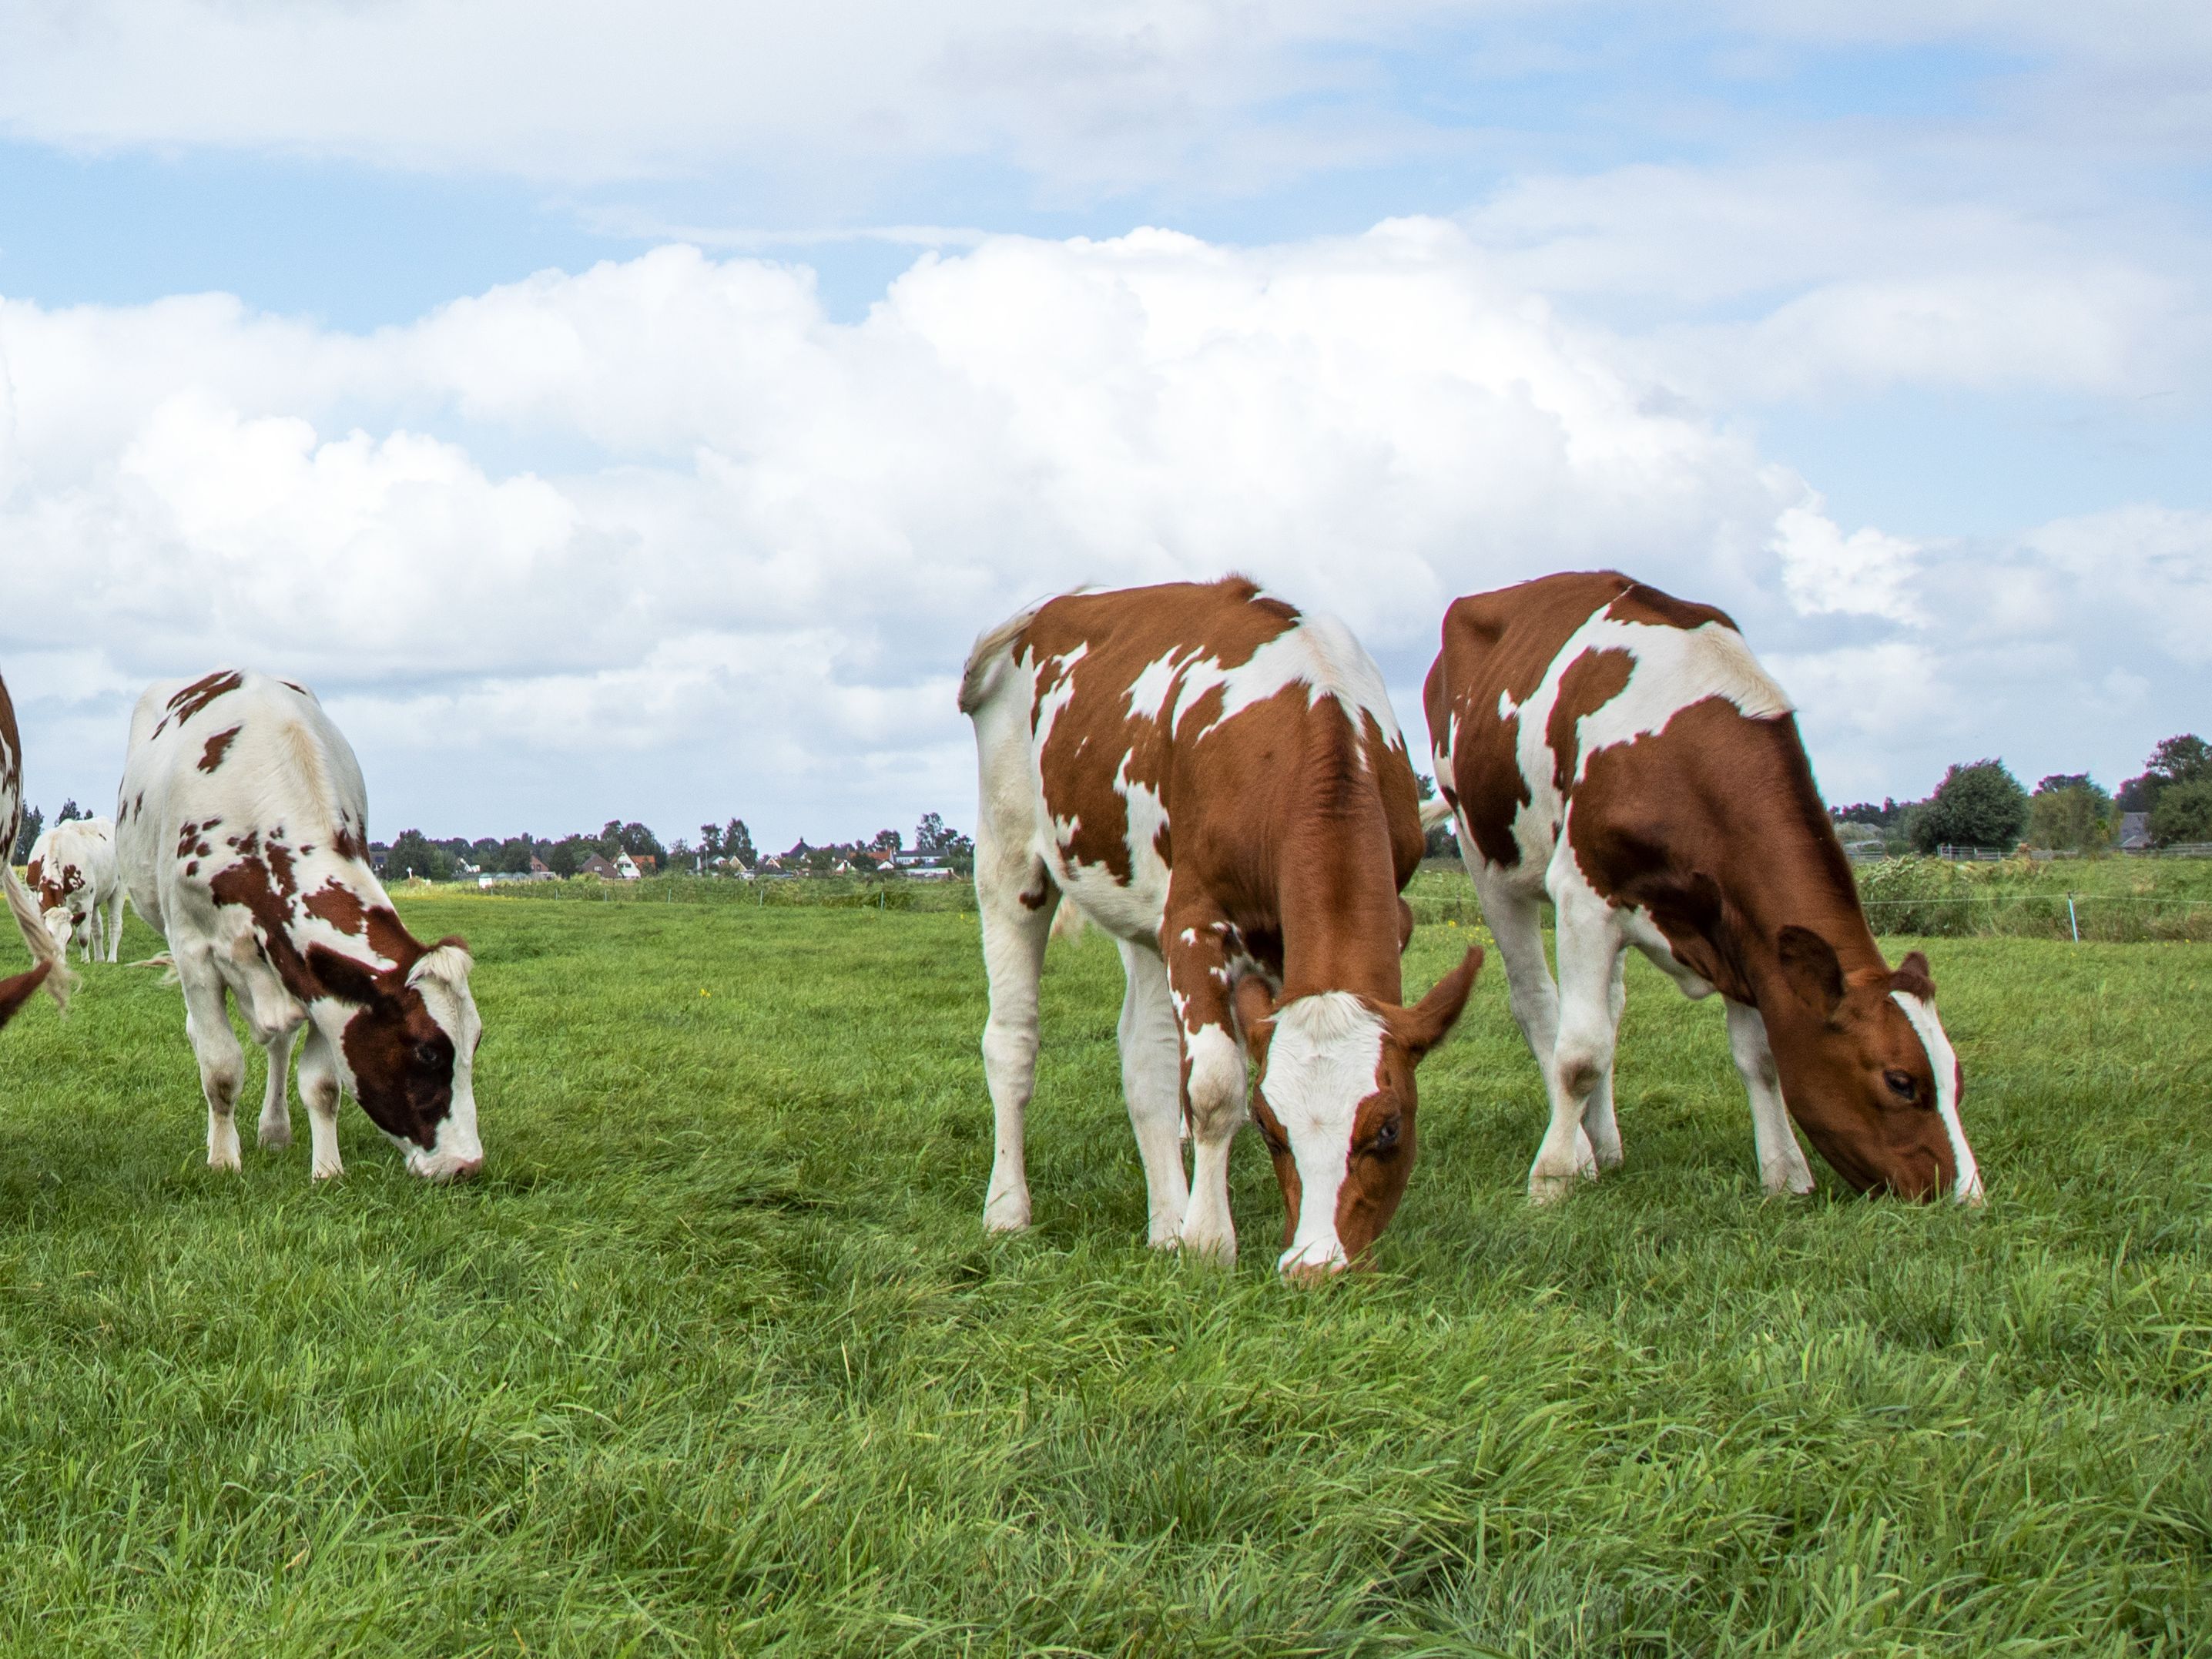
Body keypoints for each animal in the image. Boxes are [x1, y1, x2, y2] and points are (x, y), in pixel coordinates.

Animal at [26, 817, 125, 964]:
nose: (59, 962)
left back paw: (111, 959)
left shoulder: (85, 901)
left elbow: (83, 936)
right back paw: (99, 958)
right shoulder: (35, 901)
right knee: (97, 927)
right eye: (49, 934)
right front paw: (37, 961)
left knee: (115, 924)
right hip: (96, 897)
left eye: (69, 937)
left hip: (118, 889)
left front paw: (85, 961)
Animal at [115, 670, 485, 1182]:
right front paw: (223, 1161)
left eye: (476, 1040)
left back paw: (274, 1130)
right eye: (428, 1051)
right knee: (205, 1037)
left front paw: (327, 1170)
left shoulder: (317, 977)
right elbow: (221, 1068)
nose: (467, 1164)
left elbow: (323, 1085)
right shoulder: (194, 952)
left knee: (279, 1043)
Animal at [961, 578, 1482, 1278]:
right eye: (1269, 1127)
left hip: (1144, 909)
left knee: (1146, 1057)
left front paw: (1189, 1232)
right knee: (1013, 1041)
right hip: (1008, 856)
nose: (1315, 1268)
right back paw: (1009, 1211)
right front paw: (1209, 1244)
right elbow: (1212, 1087)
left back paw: (1165, 1223)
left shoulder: (1379, 918)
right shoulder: (1195, 921)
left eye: (1390, 1126)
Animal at [1423, 571, 1981, 1205]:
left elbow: (1760, 1057)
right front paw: (1553, 1178)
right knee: (1539, 1003)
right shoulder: (1584, 896)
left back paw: (1606, 1143)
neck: (1680, 754)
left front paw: (1785, 1174)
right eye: (1900, 1081)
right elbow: (1580, 1053)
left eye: (1956, 1079)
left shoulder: (1740, 928)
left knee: (1611, 1006)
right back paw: (1581, 1153)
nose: (1968, 1198)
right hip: (1487, 859)